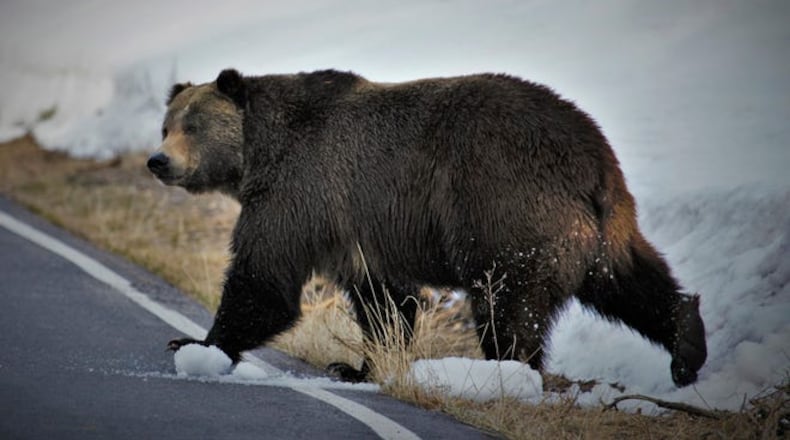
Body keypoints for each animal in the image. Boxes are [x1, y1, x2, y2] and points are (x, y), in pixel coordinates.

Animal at [148, 68, 707, 387]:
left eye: (192, 125)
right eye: (166, 124)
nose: (158, 160)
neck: (258, 155)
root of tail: (594, 156)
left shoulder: (301, 192)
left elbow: (264, 279)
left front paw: (197, 344)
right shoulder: (359, 229)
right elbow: (384, 301)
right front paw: (357, 366)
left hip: (506, 208)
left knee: (508, 304)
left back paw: (509, 371)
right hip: (604, 228)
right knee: (630, 281)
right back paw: (688, 346)